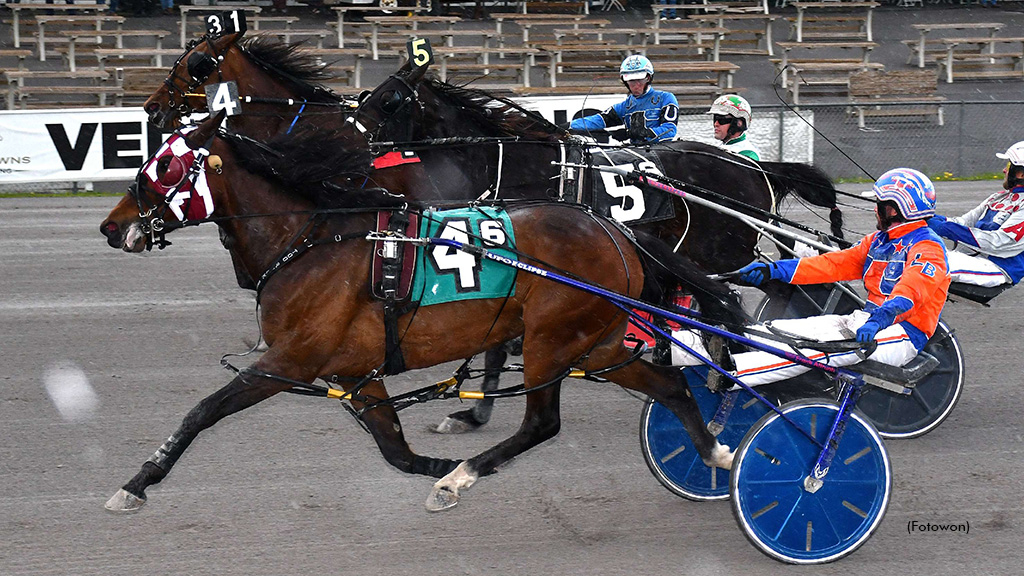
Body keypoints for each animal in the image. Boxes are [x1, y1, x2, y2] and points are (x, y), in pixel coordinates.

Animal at [99, 111, 733, 510]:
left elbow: (201, 412)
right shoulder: (356, 370)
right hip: (593, 343)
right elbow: (394, 449)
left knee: (542, 423)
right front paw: (431, 462)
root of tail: (614, 228)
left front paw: (137, 482)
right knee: (669, 386)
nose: (110, 226)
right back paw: (716, 455)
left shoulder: (290, 361)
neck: (310, 239)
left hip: (551, 341)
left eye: (166, 166)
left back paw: (463, 476)